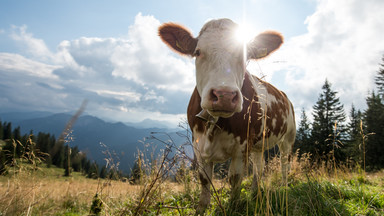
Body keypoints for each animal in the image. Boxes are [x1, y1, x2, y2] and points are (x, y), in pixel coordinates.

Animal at [158, 18, 296, 214]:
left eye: (245, 56)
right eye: (197, 52)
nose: (224, 95)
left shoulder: (241, 147)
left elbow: (235, 180)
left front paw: (233, 205)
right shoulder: (199, 146)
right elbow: (204, 183)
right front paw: (200, 210)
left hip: (288, 138)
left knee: (285, 164)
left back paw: (283, 188)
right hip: (258, 143)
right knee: (259, 167)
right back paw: (255, 193)